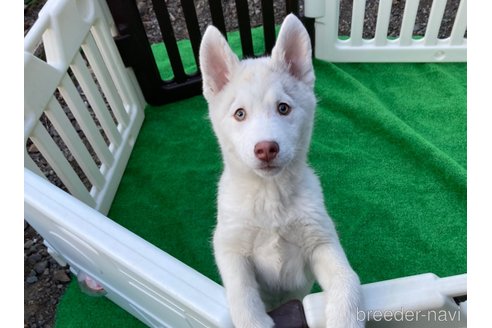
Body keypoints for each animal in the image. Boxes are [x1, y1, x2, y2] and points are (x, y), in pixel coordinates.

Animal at [198, 13, 364, 328]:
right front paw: (255, 321)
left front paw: (345, 318)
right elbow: (242, 295)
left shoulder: (321, 240)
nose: (266, 149)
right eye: (240, 114)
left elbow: (348, 278)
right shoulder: (229, 245)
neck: (270, 198)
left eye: (283, 108)